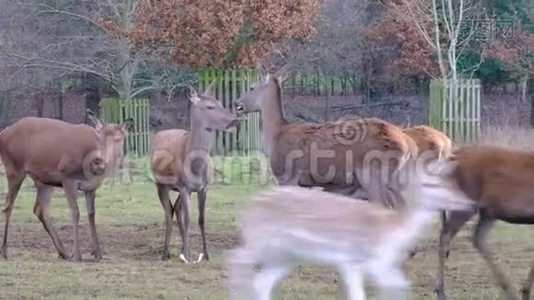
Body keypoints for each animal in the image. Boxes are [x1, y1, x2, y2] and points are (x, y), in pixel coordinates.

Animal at [0, 111, 133, 262]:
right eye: (99, 137)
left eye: (118, 139)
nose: (99, 160)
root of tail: (3, 133)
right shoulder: (67, 178)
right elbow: (75, 212)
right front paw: (78, 255)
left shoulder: (91, 187)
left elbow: (91, 214)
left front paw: (98, 254)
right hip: (13, 168)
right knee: (8, 206)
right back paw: (4, 252)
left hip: (44, 180)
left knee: (39, 209)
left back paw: (63, 252)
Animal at [151, 82, 239, 262]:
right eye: (210, 106)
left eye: (220, 102)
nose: (235, 120)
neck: (197, 168)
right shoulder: (184, 187)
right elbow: (189, 220)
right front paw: (190, 256)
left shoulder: (203, 187)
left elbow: (201, 219)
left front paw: (206, 254)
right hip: (161, 183)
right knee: (168, 213)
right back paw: (166, 253)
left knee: (176, 209)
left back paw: (182, 249)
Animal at [228, 164, 476, 300]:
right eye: (431, 185)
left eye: (449, 181)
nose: (468, 201)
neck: (392, 231)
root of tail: (245, 208)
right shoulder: (360, 260)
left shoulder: (366, 264)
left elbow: (398, 286)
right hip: (262, 242)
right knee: (235, 258)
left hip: (284, 257)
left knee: (261, 281)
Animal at [236, 63, 418, 209]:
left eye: (251, 87)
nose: (237, 103)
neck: (275, 136)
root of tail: (409, 146)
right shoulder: (306, 184)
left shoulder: (287, 177)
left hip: (373, 173)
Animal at [436, 146, 534, 300]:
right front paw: (525, 291)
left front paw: (525, 291)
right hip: (465, 204)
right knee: (446, 235)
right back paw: (440, 291)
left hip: (488, 212)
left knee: (477, 238)